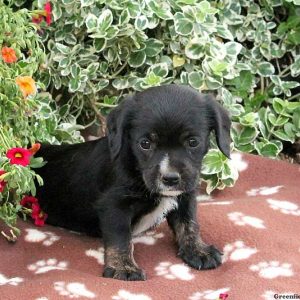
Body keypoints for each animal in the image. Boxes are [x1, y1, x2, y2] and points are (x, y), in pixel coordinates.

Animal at [35, 84, 232, 282]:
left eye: (193, 142)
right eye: (145, 143)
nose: (170, 178)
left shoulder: (185, 195)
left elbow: (189, 223)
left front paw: (198, 251)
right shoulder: (114, 206)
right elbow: (121, 237)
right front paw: (123, 268)